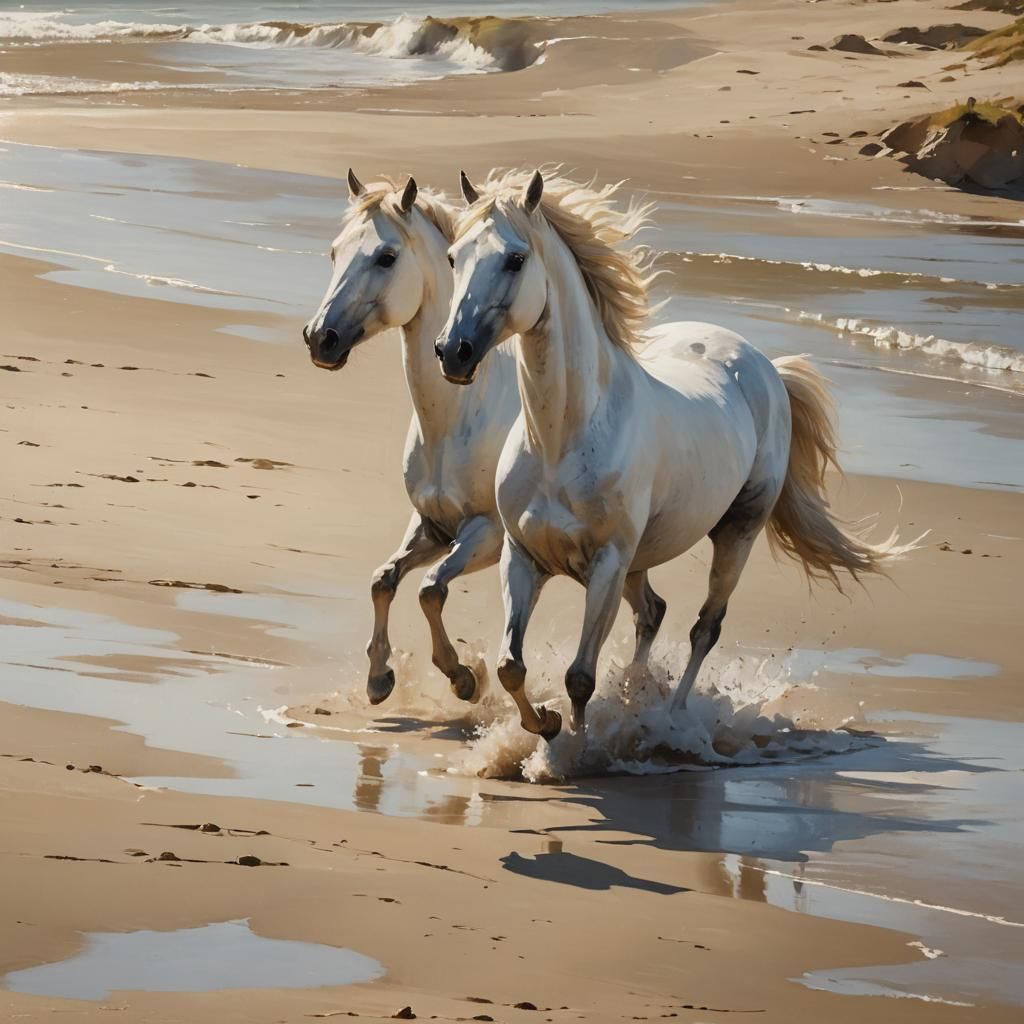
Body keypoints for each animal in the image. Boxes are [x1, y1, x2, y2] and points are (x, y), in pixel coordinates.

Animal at [302, 170, 522, 705]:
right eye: (335, 252)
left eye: (386, 256)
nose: (320, 339)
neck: (457, 418)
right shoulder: (432, 526)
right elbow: (384, 580)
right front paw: (379, 677)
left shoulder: (486, 533)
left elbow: (430, 589)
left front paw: (462, 676)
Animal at [435, 168, 914, 740]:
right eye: (453, 257)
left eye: (514, 258)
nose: (453, 352)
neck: (561, 442)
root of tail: (764, 366)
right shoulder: (523, 557)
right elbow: (511, 665)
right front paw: (546, 725)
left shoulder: (607, 564)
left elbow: (579, 677)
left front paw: (575, 744)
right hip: (642, 559)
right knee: (653, 612)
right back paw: (637, 694)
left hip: (736, 533)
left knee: (703, 628)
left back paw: (672, 716)